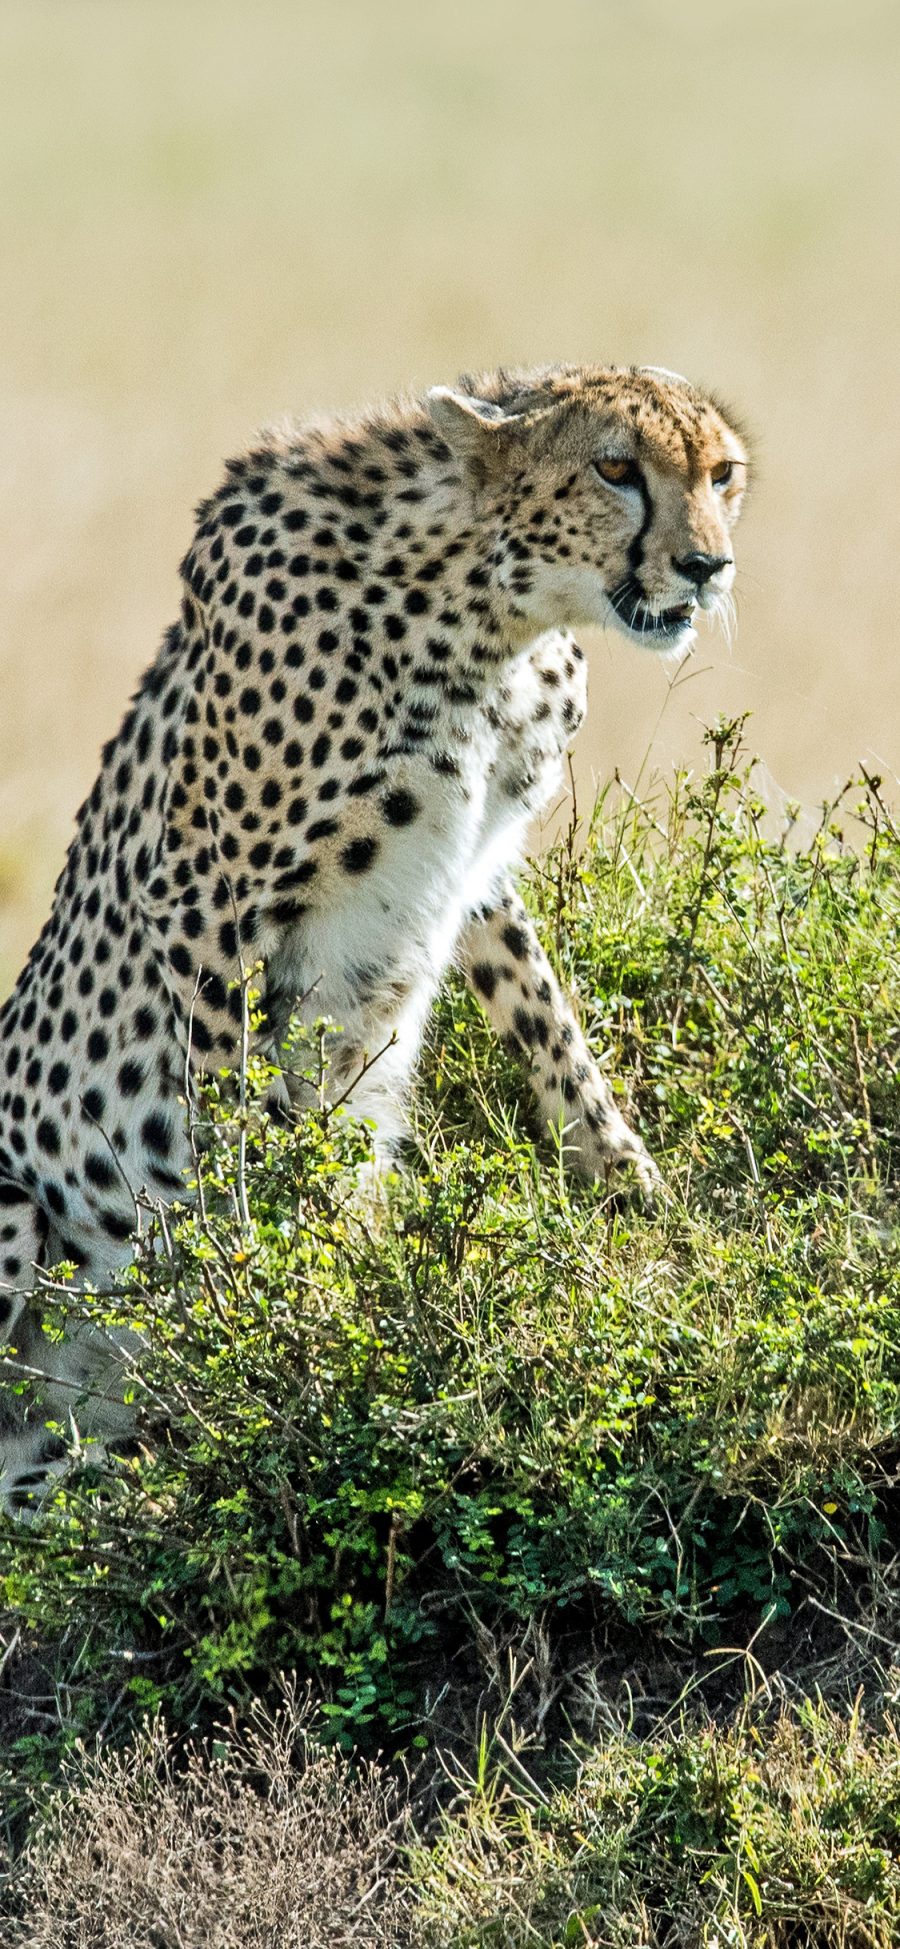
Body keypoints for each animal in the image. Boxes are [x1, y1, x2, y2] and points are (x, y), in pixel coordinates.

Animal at [0, 358, 744, 1504]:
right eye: (616, 468)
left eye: (722, 473)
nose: (707, 566)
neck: (488, 610)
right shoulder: (202, 897)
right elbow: (228, 1136)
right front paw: (256, 1315)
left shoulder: (479, 864)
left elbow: (549, 1021)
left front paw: (636, 1188)